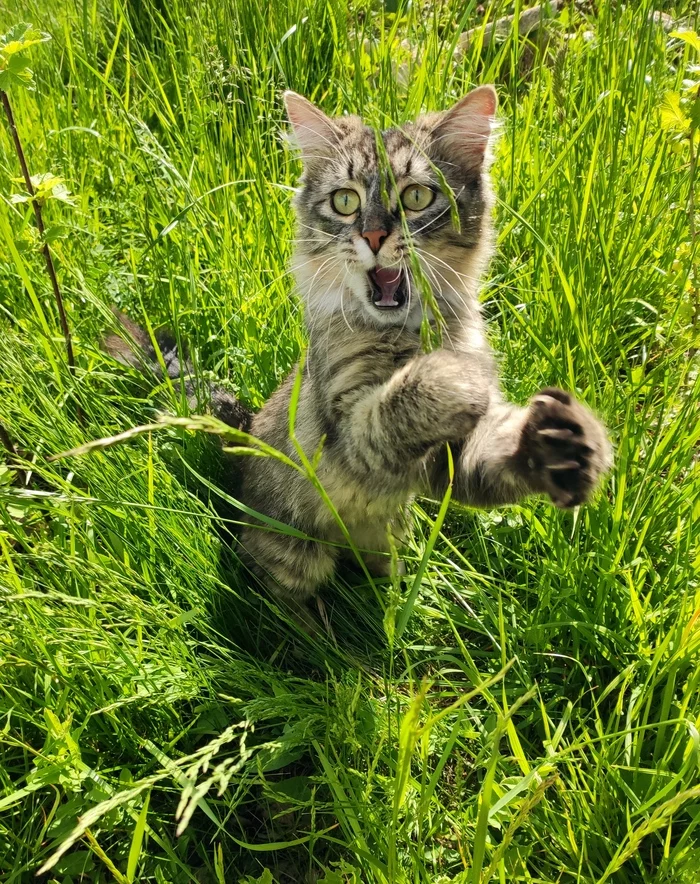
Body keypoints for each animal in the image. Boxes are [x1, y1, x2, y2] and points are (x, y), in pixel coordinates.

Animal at [104, 84, 612, 620]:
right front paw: (454, 374)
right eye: (345, 201)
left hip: (388, 534)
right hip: (296, 555)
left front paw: (565, 443)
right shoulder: (347, 430)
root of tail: (243, 442)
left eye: (415, 197)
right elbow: (400, 404)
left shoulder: (446, 462)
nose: (372, 235)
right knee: (284, 602)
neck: (404, 335)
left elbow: (497, 450)